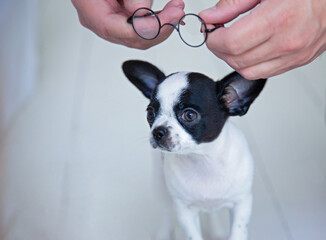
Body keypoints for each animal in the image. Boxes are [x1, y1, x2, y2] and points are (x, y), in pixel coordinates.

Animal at [121, 59, 266, 240]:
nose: (157, 131)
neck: (203, 160)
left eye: (189, 115)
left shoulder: (242, 203)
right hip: (160, 186)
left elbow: (238, 233)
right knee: (166, 212)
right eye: (150, 114)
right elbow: (192, 235)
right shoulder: (184, 211)